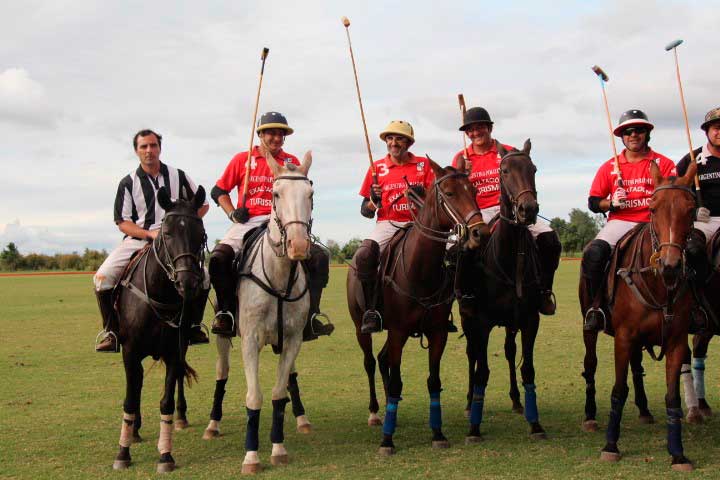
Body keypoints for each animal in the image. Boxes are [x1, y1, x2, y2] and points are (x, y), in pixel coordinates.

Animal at [109, 187, 208, 472]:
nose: (188, 283)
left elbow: (166, 400)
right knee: (136, 385)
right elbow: (131, 398)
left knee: (175, 382)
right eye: (167, 233)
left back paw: (181, 416)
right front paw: (123, 452)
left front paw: (165, 455)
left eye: (201, 233)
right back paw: (134, 430)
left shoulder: (174, 350)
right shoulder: (130, 351)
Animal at [348, 160, 490, 454]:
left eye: (473, 190)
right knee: (370, 361)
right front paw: (387, 441)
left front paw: (438, 433)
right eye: (449, 192)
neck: (420, 271)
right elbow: (397, 378)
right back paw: (376, 413)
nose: (480, 232)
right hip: (360, 326)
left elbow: (433, 381)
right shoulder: (399, 331)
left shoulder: (437, 332)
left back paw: (391, 411)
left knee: (382, 360)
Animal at [458, 139, 548, 442]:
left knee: (510, 351)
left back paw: (517, 400)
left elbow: (528, 368)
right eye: (505, 170)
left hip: (511, 322)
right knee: (472, 354)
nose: (528, 209)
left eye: (533, 169)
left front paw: (535, 424)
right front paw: (474, 427)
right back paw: (469, 401)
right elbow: (482, 370)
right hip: (467, 318)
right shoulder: (482, 322)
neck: (508, 257)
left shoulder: (530, 319)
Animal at [580, 162, 696, 472]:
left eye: (691, 209)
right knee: (591, 364)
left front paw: (677, 453)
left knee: (636, 366)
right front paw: (610, 445)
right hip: (590, 326)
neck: (659, 285)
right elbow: (618, 390)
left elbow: (672, 396)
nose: (670, 265)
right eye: (653, 208)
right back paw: (590, 415)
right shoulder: (623, 337)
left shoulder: (677, 340)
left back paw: (644, 409)